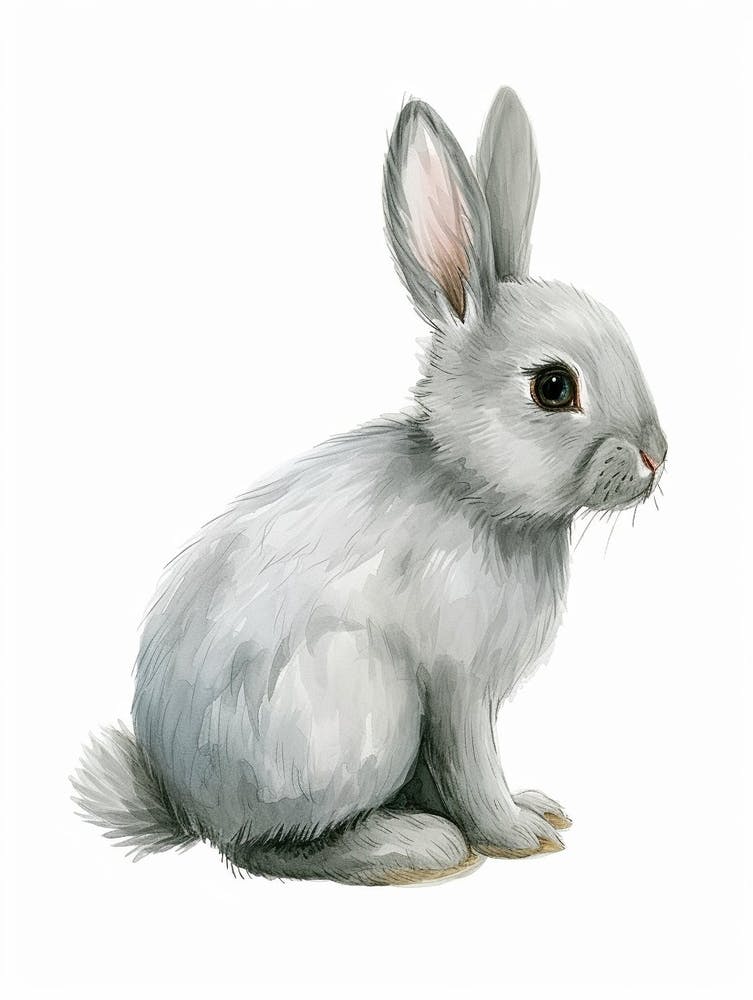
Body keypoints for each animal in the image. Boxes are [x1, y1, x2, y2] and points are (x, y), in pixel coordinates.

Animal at [72, 86, 667, 886]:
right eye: (552, 387)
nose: (657, 455)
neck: (473, 489)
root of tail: (186, 804)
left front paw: (535, 809)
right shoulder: (454, 688)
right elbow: (473, 770)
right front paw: (516, 835)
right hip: (361, 708)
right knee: (267, 850)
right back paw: (414, 846)